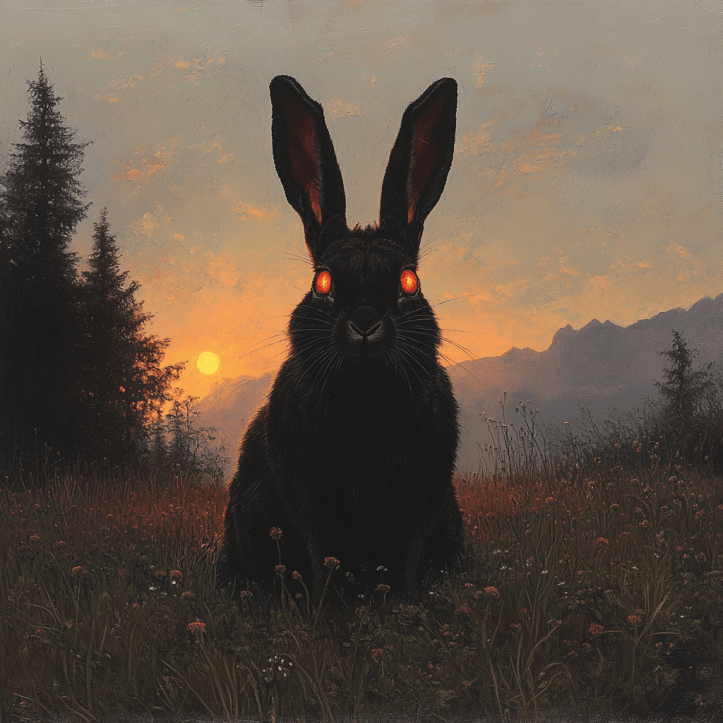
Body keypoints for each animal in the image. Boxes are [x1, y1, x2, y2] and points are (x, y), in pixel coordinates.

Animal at [216, 75, 464, 601]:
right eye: (322, 283)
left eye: (409, 282)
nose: (365, 321)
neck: (365, 396)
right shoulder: (306, 495)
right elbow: (322, 551)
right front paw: (329, 606)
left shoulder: (423, 498)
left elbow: (406, 555)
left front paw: (404, 603)